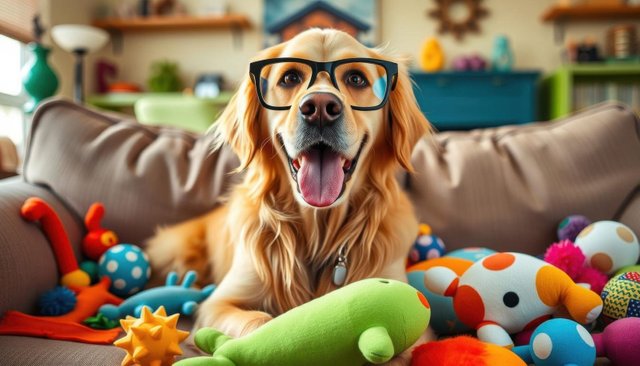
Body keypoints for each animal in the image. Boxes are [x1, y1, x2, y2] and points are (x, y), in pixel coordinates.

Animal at [148, 28, 432, 364]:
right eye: (290, 77)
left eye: (356, 78)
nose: (320, 107)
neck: (318, 229)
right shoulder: (219, 303)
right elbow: (260, 323)